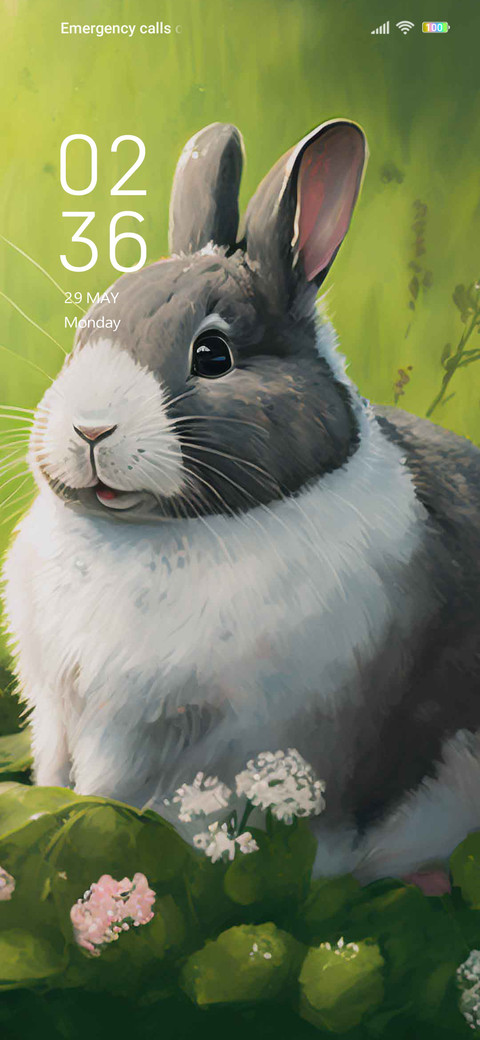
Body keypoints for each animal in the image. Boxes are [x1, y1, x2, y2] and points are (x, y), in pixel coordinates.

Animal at [2, 119, 480, 883]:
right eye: (82, 339)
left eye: (213, 355)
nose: (90, 429)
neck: (159, 533)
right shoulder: (64, 723)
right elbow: (73, 791)